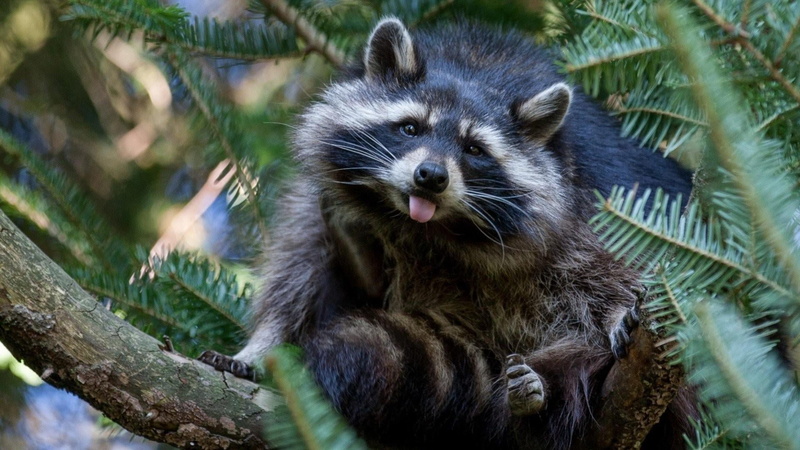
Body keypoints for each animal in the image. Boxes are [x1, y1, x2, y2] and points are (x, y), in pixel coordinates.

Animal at [200, 18, 694, 449]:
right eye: (411, 127)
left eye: (474, 149)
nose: (431, 176)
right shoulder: (323, 197)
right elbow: (297, 271)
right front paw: (260, 347)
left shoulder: (587, 202)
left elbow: (608, 269)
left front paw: (615, 313)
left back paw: (541, 396)